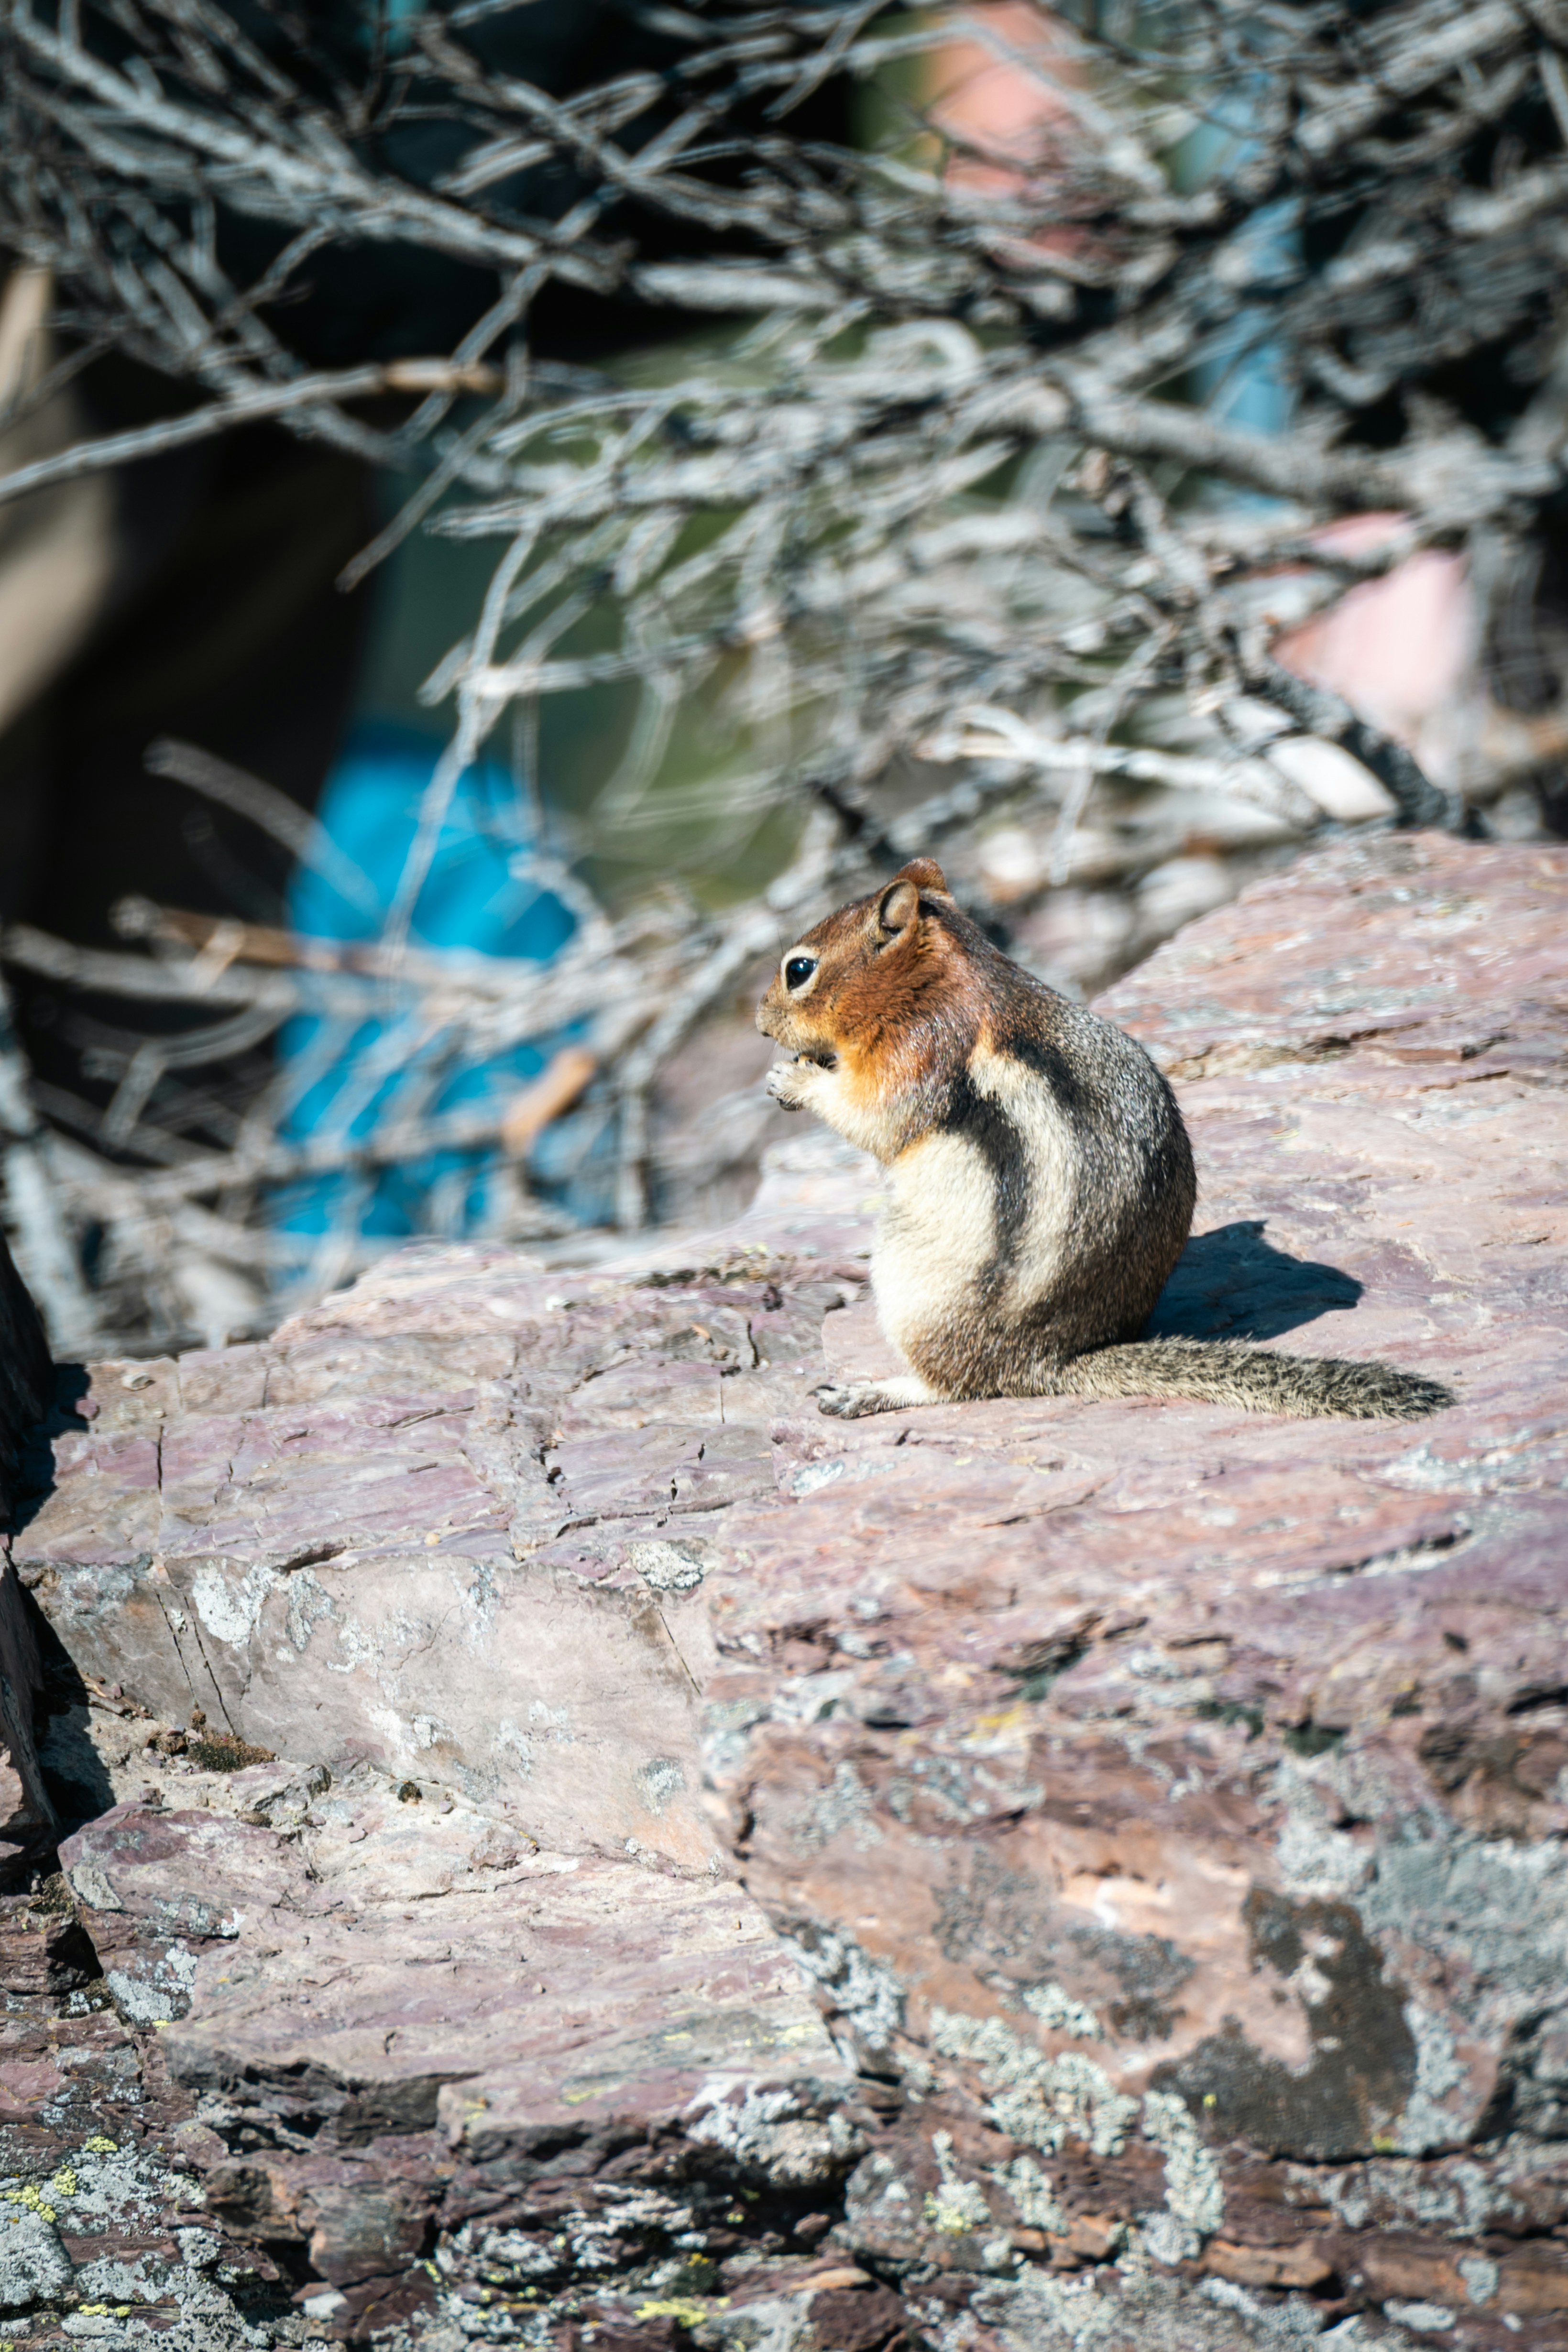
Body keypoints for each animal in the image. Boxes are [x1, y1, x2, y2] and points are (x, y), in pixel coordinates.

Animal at [757, 857, 1454, 1423]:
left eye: (799, 969)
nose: (759, 1021)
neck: (942, 980)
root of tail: (1046, 1359)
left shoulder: (916, 1054)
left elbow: (870, 1116)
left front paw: (793, 1079)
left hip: (908, 1285)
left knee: (957, 1387)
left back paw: (866, 1391)